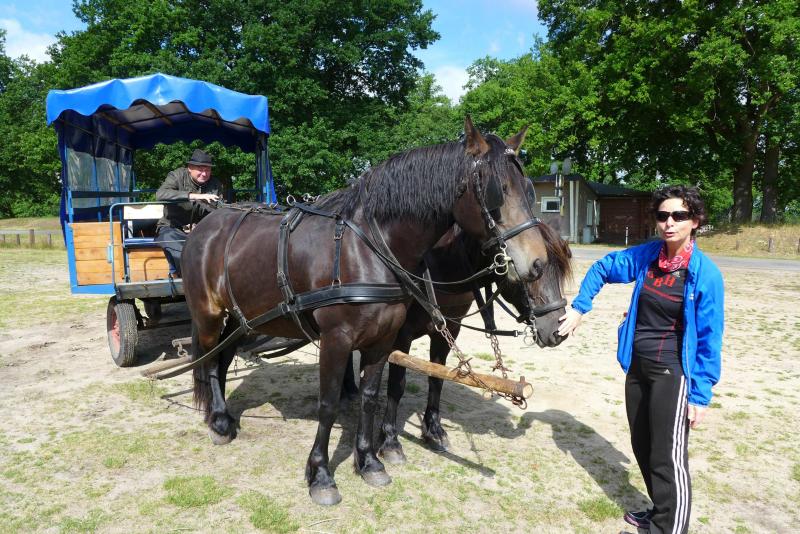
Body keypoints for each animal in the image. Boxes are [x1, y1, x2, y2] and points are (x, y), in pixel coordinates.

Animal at [180, 117, 550, 505]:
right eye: (497, 191)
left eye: (528, 190)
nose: (536, 262)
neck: (369, 248)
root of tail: (206, 225)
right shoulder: (336, 340)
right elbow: (328, 404)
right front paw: (321, 475)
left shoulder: (383, 339)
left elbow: (372, 398)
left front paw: (369, 461)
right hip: (208, 315)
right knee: (208, 361)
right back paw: (219, 422)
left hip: (242, 319)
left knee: (222, 359)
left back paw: (223, 416)